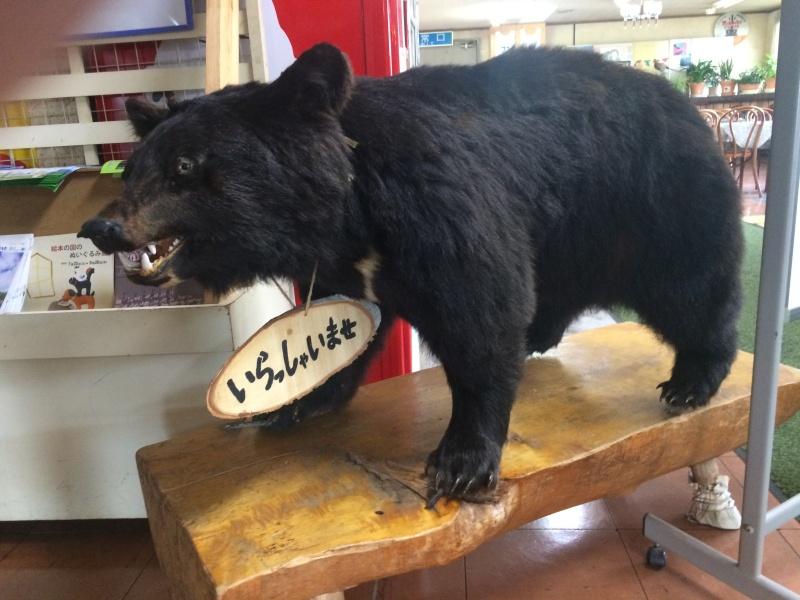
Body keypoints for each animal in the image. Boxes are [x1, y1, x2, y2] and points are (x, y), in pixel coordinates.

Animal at [79, 43, 742, 507]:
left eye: (186, 165)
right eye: (132, 168)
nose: (101, 227)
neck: (348, 208)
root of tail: (682, 99)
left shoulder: (437, 204)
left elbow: (480, 308)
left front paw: (462, 459)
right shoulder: (341, 261)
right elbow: (349, 321)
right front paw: (297, 401)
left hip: (653, 199)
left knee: (692, 283)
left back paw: (693, 378)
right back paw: (539, 334)